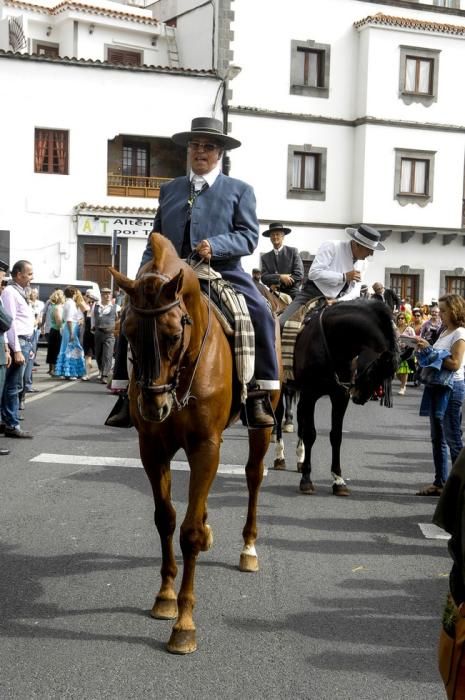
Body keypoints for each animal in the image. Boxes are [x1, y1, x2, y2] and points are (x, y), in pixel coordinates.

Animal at [110, 235, 278, 656]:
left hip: (263, 427)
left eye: (172, 334)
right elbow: (167, 519)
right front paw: (165, 597)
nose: (154, 407)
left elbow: (186, 533)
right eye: (128, 333)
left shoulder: (205, 446)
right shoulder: (153, 449)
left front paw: (184, 624)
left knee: (253, 476)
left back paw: (248, 549)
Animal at [274, 298, 396, 494]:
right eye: (373, 372)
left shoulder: (340, 396)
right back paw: (280, 456)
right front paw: (306, 480)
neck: (332, 344)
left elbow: (336, 436)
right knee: (279, 417)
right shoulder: (310, 394)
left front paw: (338, 480)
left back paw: (300, 459)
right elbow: (310, 434)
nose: (360, 397)